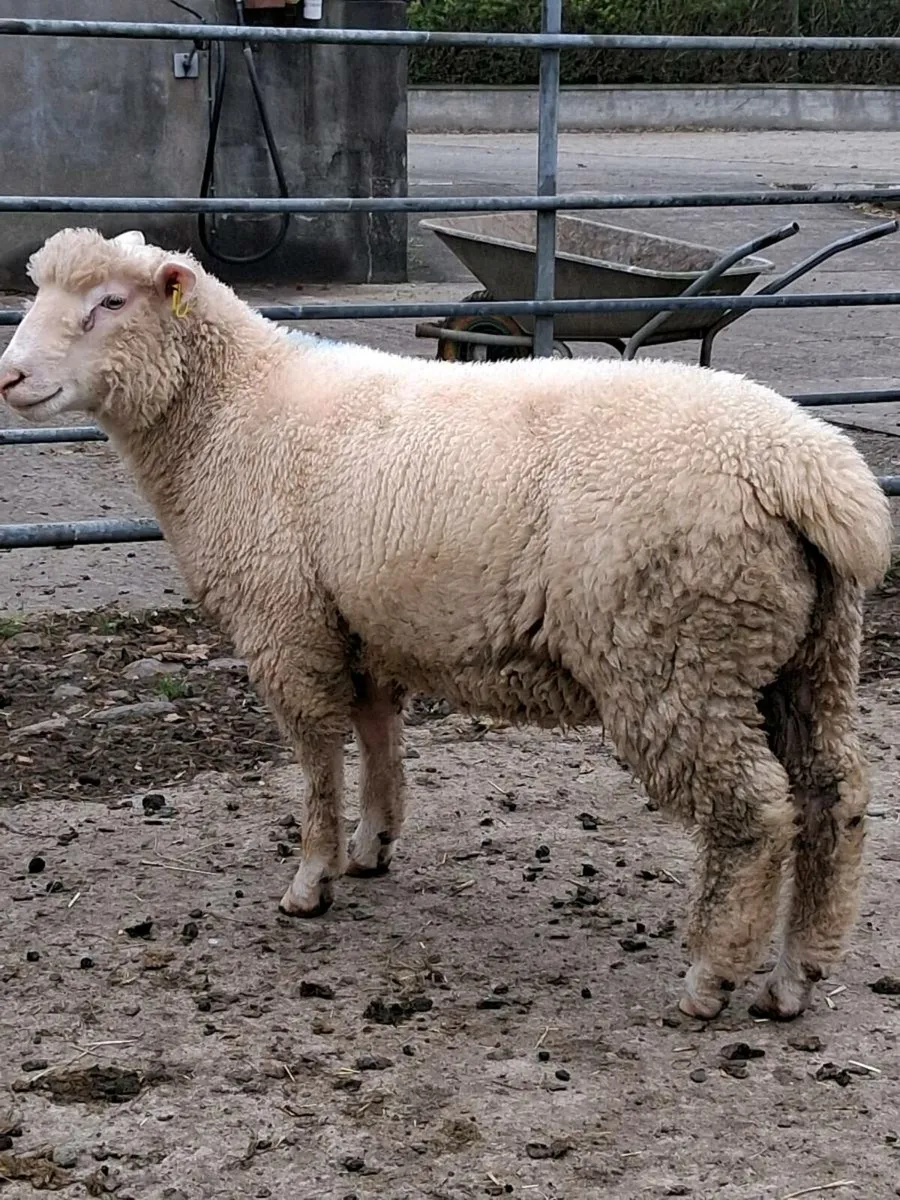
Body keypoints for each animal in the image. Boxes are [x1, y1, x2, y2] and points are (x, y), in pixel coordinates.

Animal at [0, 226, 892, 1022]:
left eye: (110, 302)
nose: (9, 376)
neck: (227, 413)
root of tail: (806, 471)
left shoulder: (284, 621)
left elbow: (317, 759)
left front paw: (311, 878)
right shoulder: (361, 623)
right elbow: (378, 738)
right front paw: (373, 844)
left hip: (675, 655)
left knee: (753, 814)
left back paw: (712, 977)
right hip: (807, 653)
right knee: (835, 797)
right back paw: (795, 977)